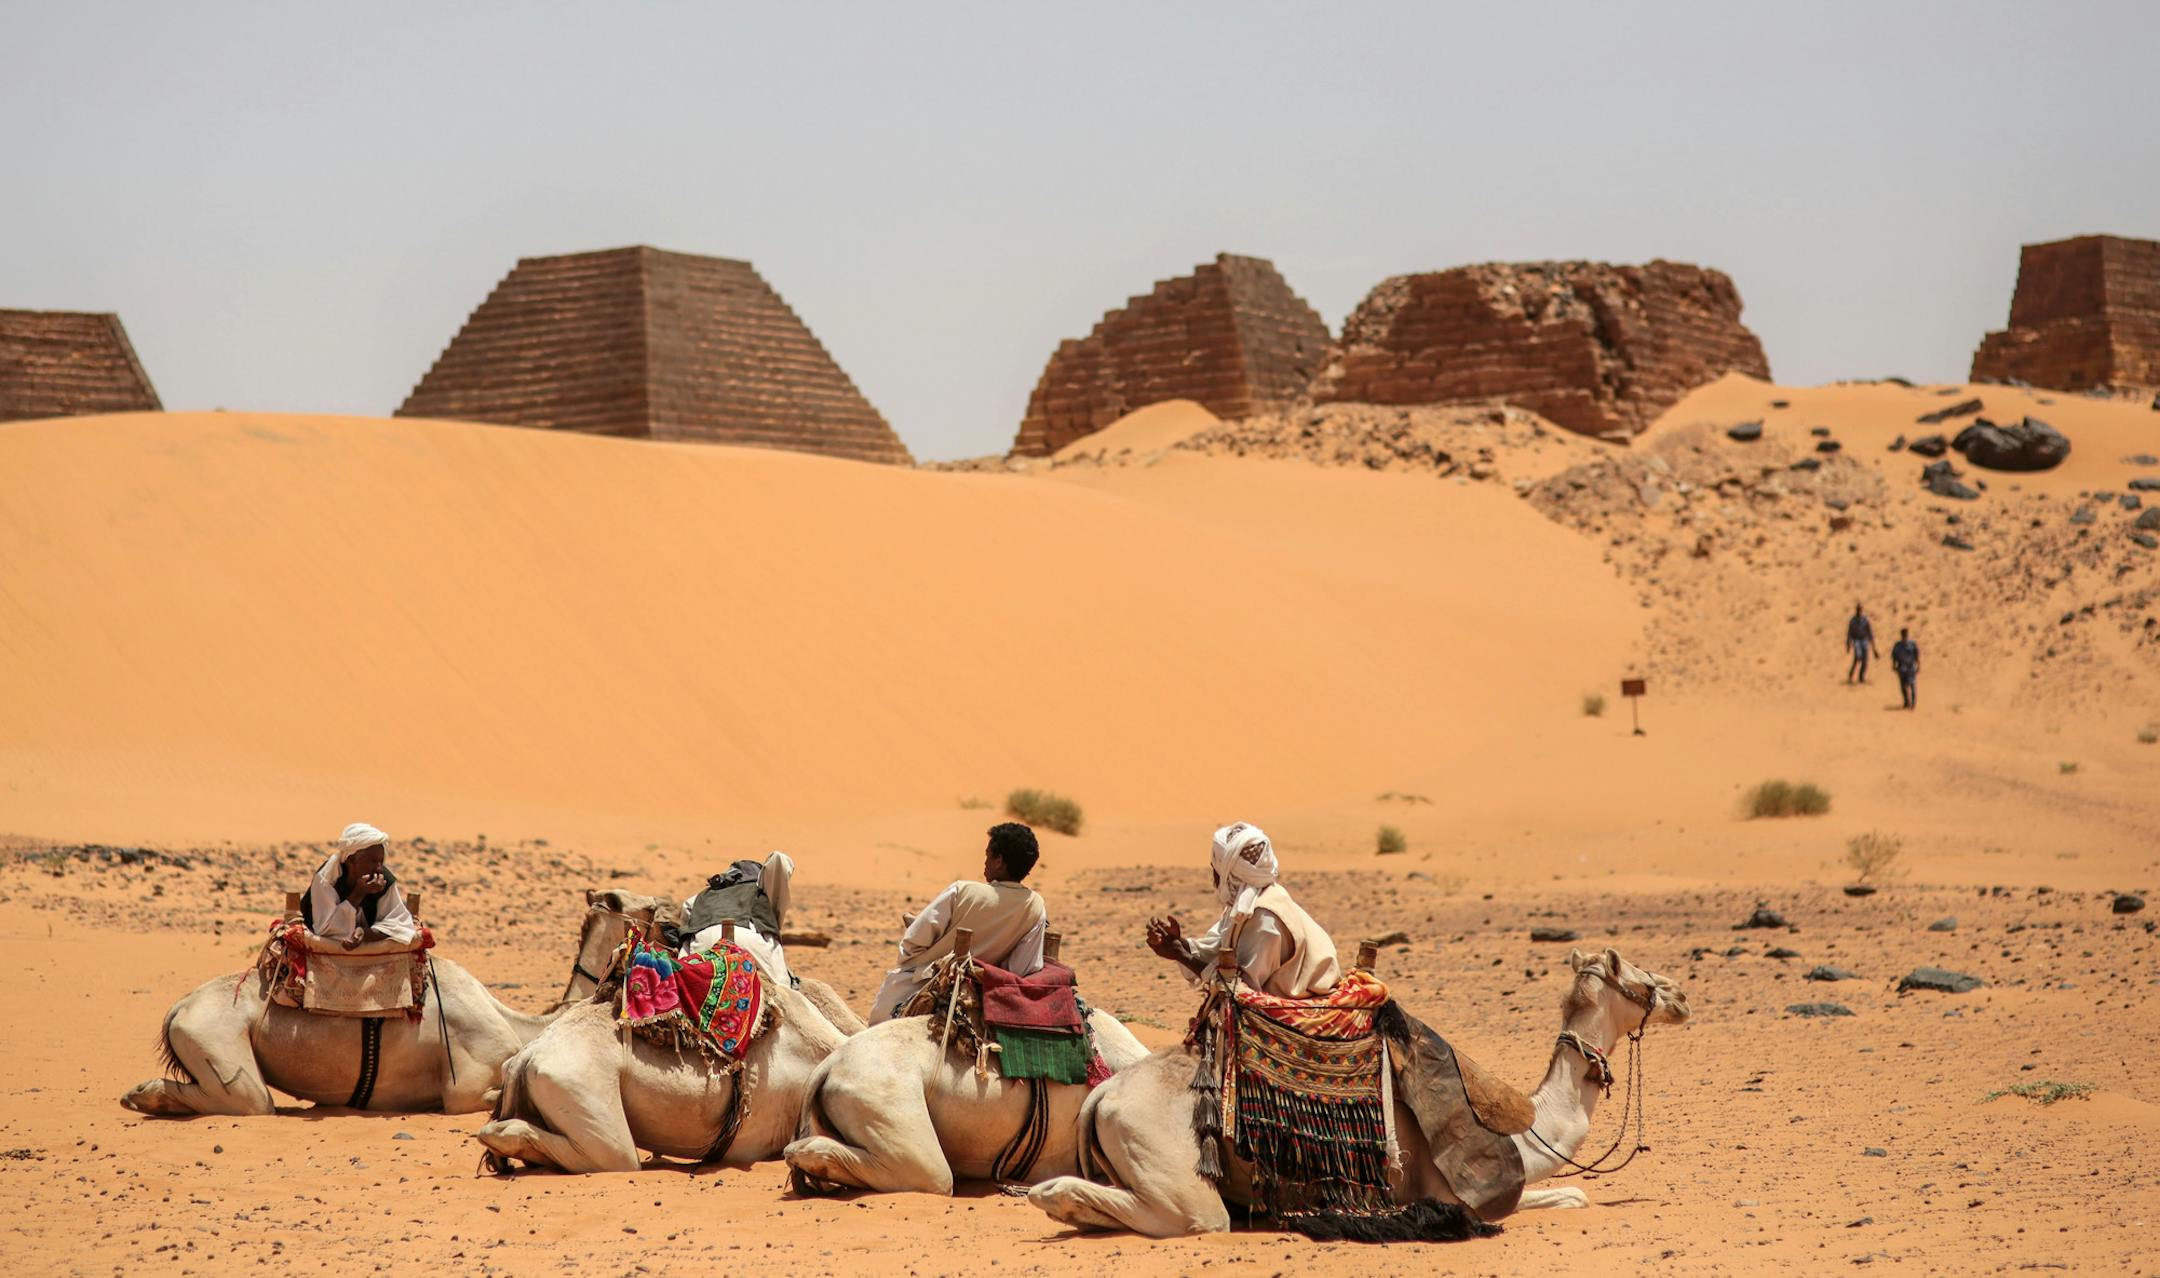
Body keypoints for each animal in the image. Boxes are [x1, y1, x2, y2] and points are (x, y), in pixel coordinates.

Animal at [1027, 947, 1690, 1236]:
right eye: (1636, 976)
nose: (1681, 993)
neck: (1520, 1131)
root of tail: (1102, 1097)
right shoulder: (1458, 1193)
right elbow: (1571, 1196)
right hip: (1177, 1175)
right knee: (1194, 1218)